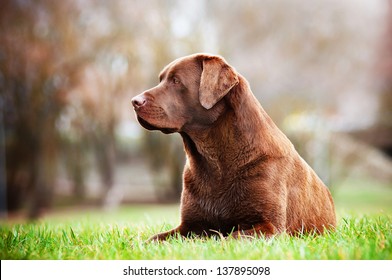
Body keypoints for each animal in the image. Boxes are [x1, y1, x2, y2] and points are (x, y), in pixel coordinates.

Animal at [132, 53, 336, 241]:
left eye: (176, 81)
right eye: (161, 80)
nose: (134, 101)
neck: (215, 161)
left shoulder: (271, 227)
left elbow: (229, 238)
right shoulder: (189, 226)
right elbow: (154, 239)